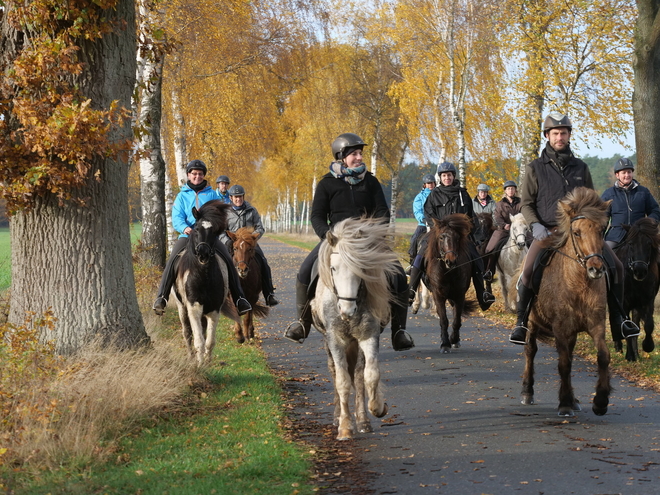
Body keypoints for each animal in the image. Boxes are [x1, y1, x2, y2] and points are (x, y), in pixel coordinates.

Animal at [174, 200, 238, 366]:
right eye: (196, 228)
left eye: (214, 231)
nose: (203, 253)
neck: (204, 276)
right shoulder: (194, 307)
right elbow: (198, 340)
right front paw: (199, 364)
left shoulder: (214, 309)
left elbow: (209, 341)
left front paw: (207, 363)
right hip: (181, 307)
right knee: (187, 333)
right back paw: (191, 357)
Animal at [310, 217, 398, 442]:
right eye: (333, 268)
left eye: (361, 268)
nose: (346, 310)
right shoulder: (335, 340)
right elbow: (342, 381)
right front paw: (344, 429)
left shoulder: (368, 336)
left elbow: (370, 375)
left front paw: (377, 408)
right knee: (335, 372)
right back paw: (337, 418)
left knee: (358, 374)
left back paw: (363, 421)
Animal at [426, 213, 476, 352]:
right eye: (441, 237)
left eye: (458, 237)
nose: (451, 261)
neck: (448, 272)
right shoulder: (438, 296)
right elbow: (444, 320)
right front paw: (445, 344)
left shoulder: (459, 295)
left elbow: (457, 319)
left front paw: (454, 340)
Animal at [520, 188, 612, 416]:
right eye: (577, 232)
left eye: (601, 230)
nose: (596, 268)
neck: (579, 284)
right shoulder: (560, 328)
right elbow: (563, 364)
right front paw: (564, 404)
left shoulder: (596, 325)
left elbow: (603, 356)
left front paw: (600, 401)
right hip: (532, 323)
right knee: (530, 351)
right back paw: (527, 391)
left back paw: (574, 398)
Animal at [612, 219, 660, 362]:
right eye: (631, 244)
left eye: (649, 244)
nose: (640, 271)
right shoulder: (624, 302)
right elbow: (627, 325)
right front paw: (629, 356)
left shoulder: (647, 300)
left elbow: (648, 324)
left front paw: (648, 346)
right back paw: (619, 347)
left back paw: (635, 352)